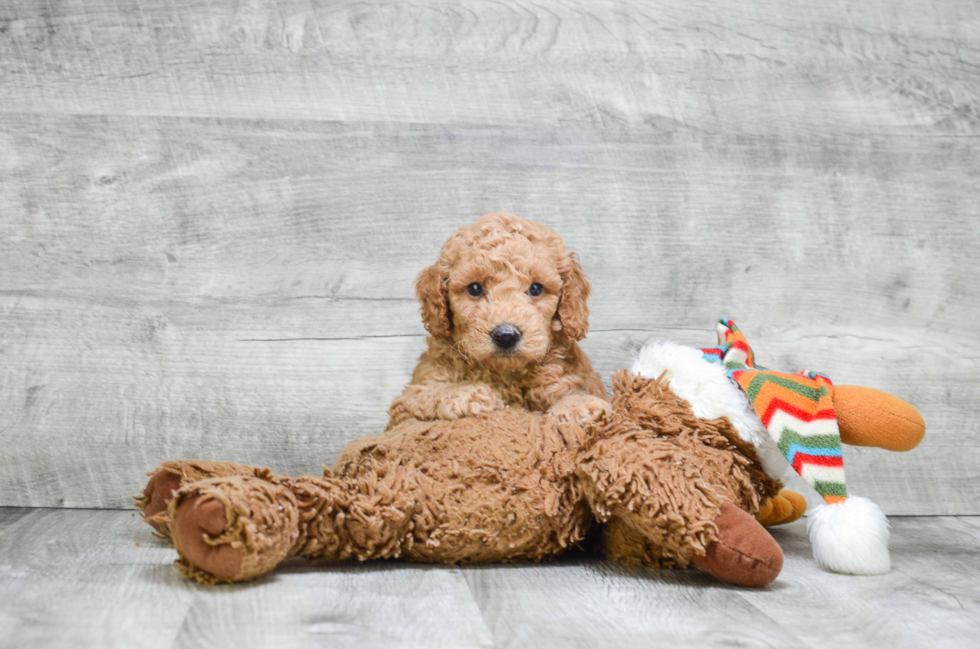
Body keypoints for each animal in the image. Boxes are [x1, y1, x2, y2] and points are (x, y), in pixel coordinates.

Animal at [386, 213, 608, 432]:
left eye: (536, 288)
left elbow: (571, 392)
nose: (506, 336)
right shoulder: (406, 402)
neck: (505, 373)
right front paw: (467, 393)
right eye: (475, 288)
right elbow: (430, 392)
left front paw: (579, 405)